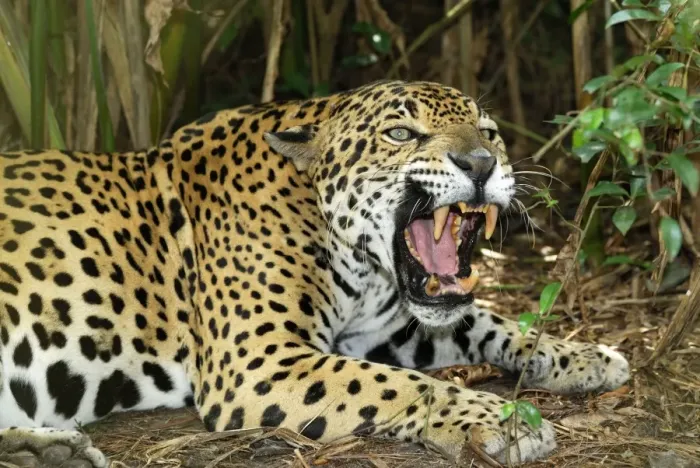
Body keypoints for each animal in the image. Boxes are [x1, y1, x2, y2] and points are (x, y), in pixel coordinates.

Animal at [0, 80, 629, 467]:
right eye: (401, 134)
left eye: (489, 131)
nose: (481, 163)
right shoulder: (259, 359)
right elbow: (399, 384)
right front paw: (501, 417)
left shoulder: (388, 327)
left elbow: (492, 323)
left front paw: (587, 356)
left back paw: (49, 451)